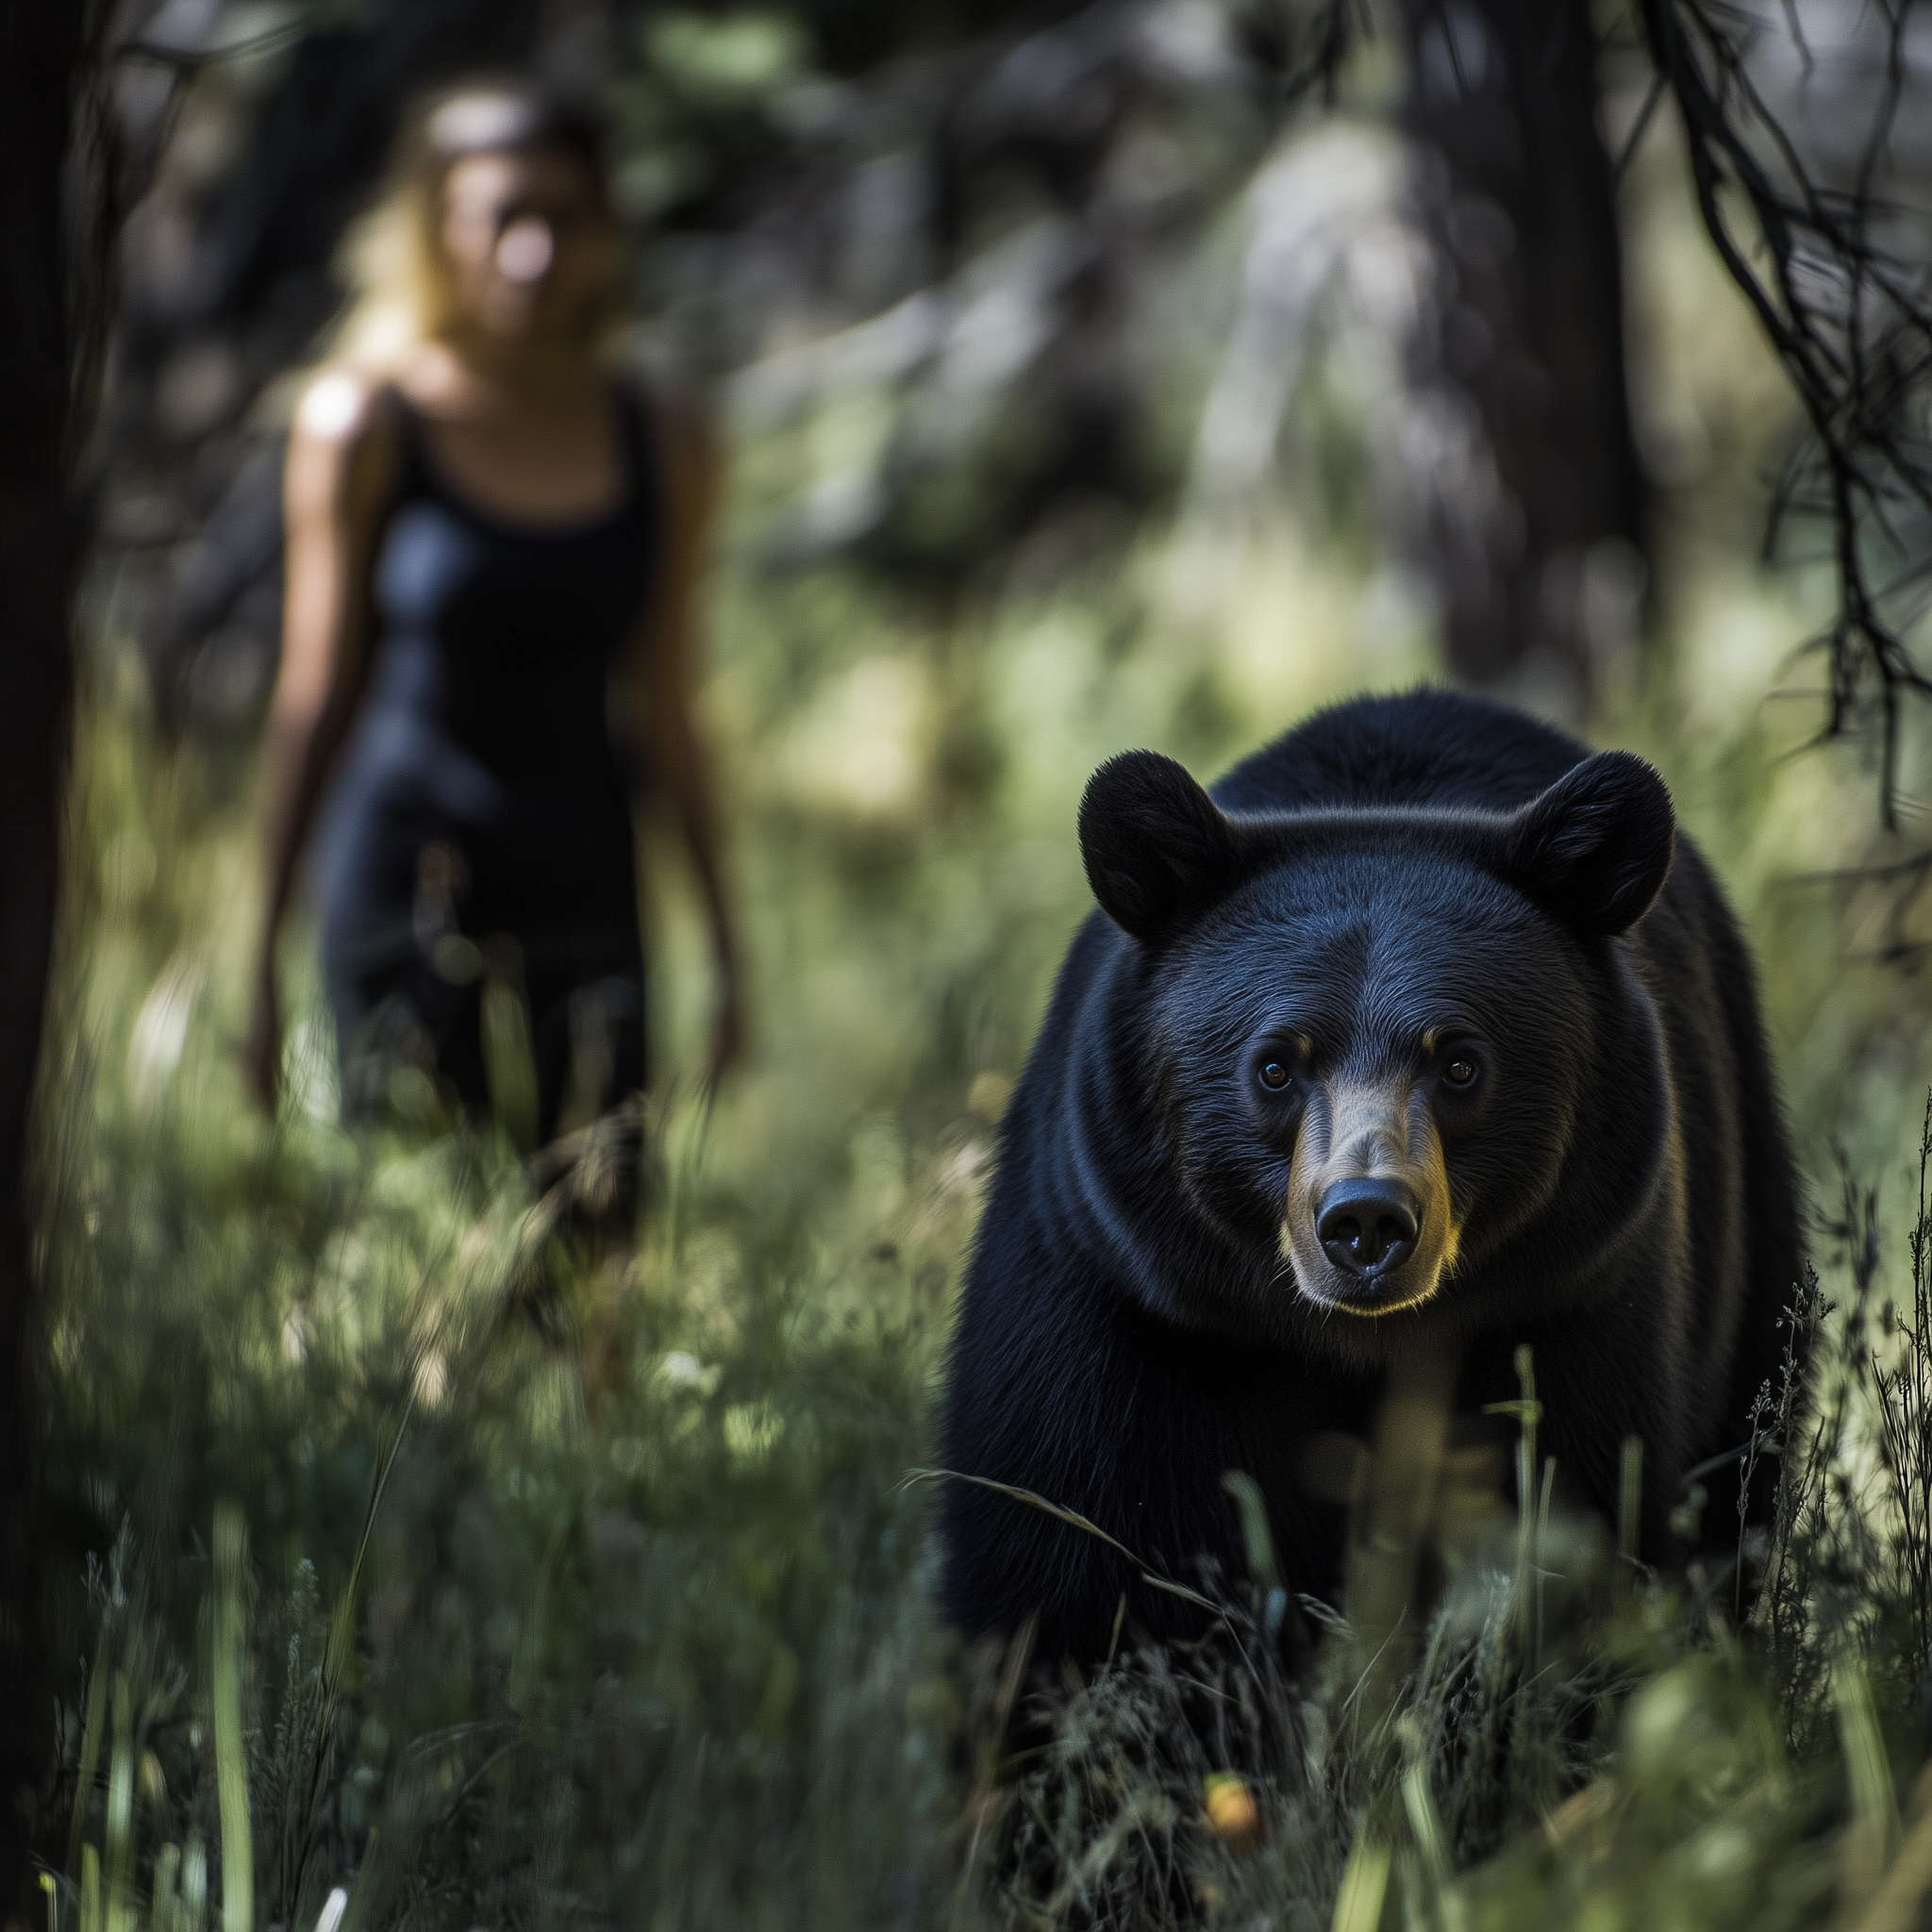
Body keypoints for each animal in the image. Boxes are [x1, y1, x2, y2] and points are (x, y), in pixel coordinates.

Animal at [937, 689, 1802, 1662]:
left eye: (1460, 1063)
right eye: (1275, 1066)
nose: (1366, 1223)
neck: (1355, 1344)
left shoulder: (1574, 1298)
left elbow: (1587, 1508)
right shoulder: (1126, 1293)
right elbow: (1057, 1544)